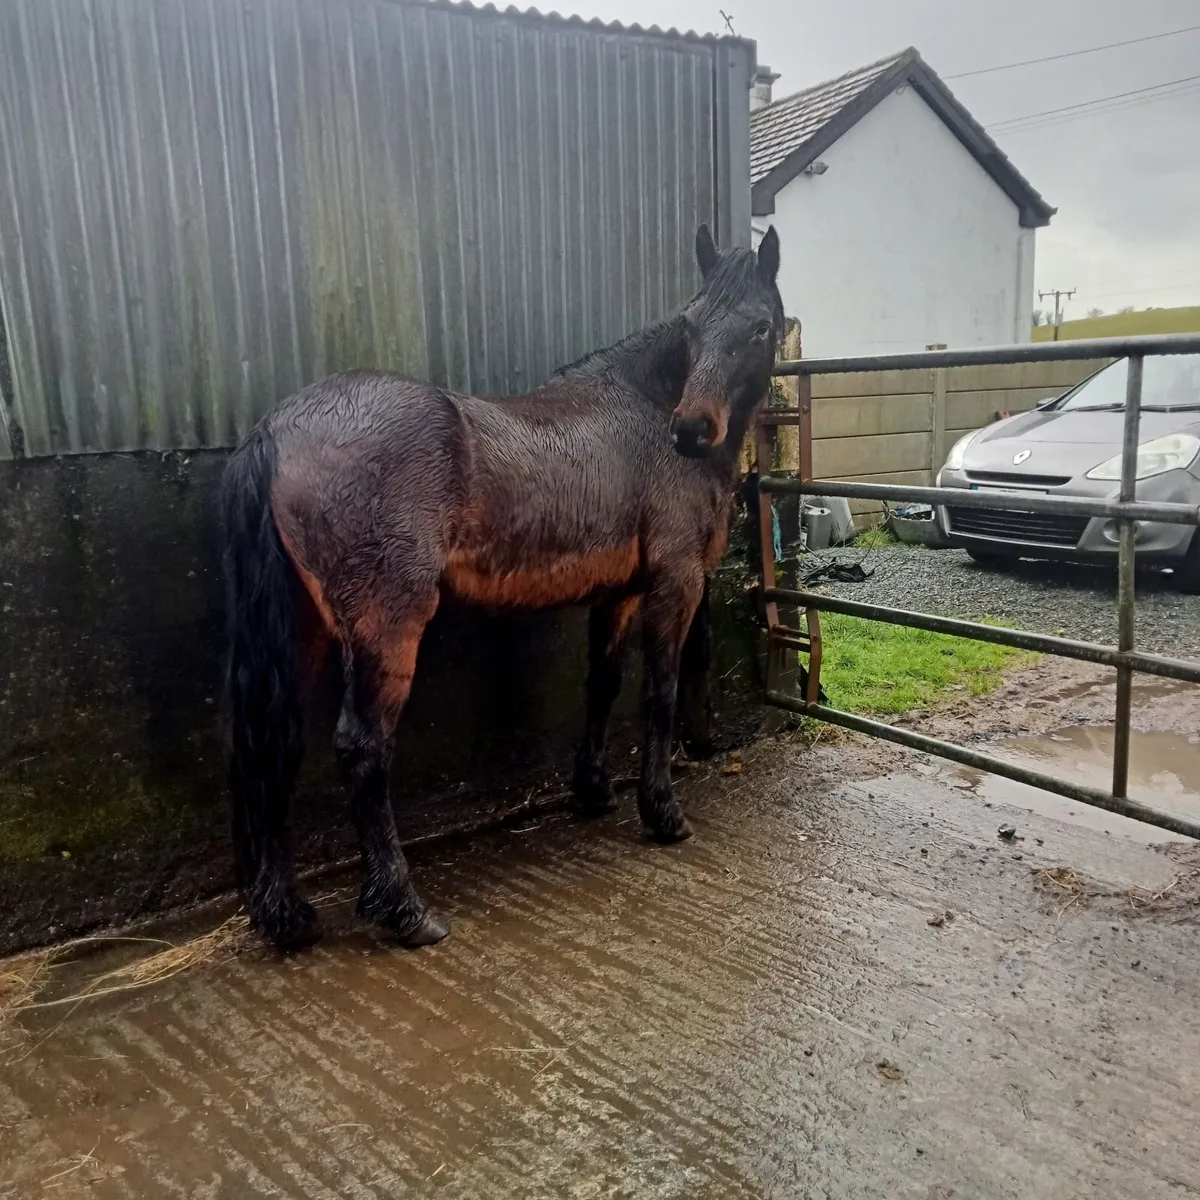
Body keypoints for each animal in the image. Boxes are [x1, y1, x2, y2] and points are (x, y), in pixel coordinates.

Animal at [221, 224, 784, 951]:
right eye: (691, 324)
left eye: (760, 326)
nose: (691, 430)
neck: (643, 411)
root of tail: (276, 430)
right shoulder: (675, 581)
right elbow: (659, 694)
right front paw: (662, 813)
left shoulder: (619, 591)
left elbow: (602, 685)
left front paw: (593, 791)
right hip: (386, 626)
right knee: (362, 749)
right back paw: (404, 909)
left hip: (305, 628)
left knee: (276, 740)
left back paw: (284, 914)